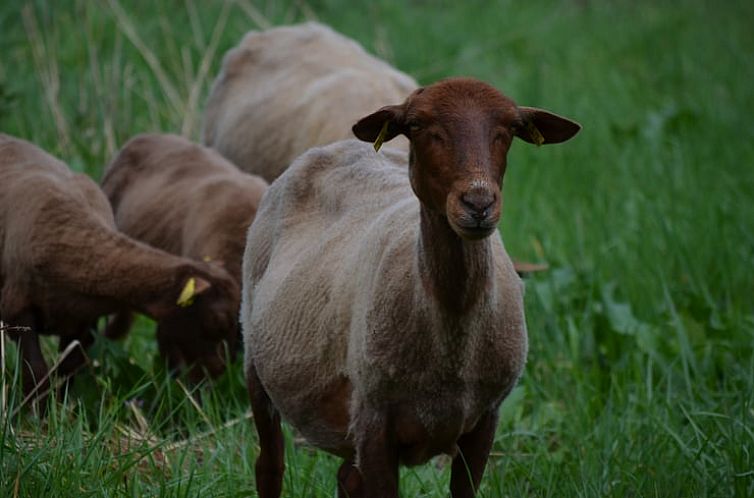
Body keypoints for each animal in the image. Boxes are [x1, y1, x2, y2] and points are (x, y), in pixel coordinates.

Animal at [0, 133, 238, 400]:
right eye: (219, 319)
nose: (222, 368)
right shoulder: (18, 311)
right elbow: (36, 374)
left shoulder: (82, 320)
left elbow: (69, 368)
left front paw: (64, 405)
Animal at [238, 79, 580, 498]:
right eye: (417, 125)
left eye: (511, 128)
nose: (478, 203)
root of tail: (337, 146)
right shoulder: (375, 422)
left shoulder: (485, 421)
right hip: (258, 365)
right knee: (269, 466)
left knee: (347, 478)